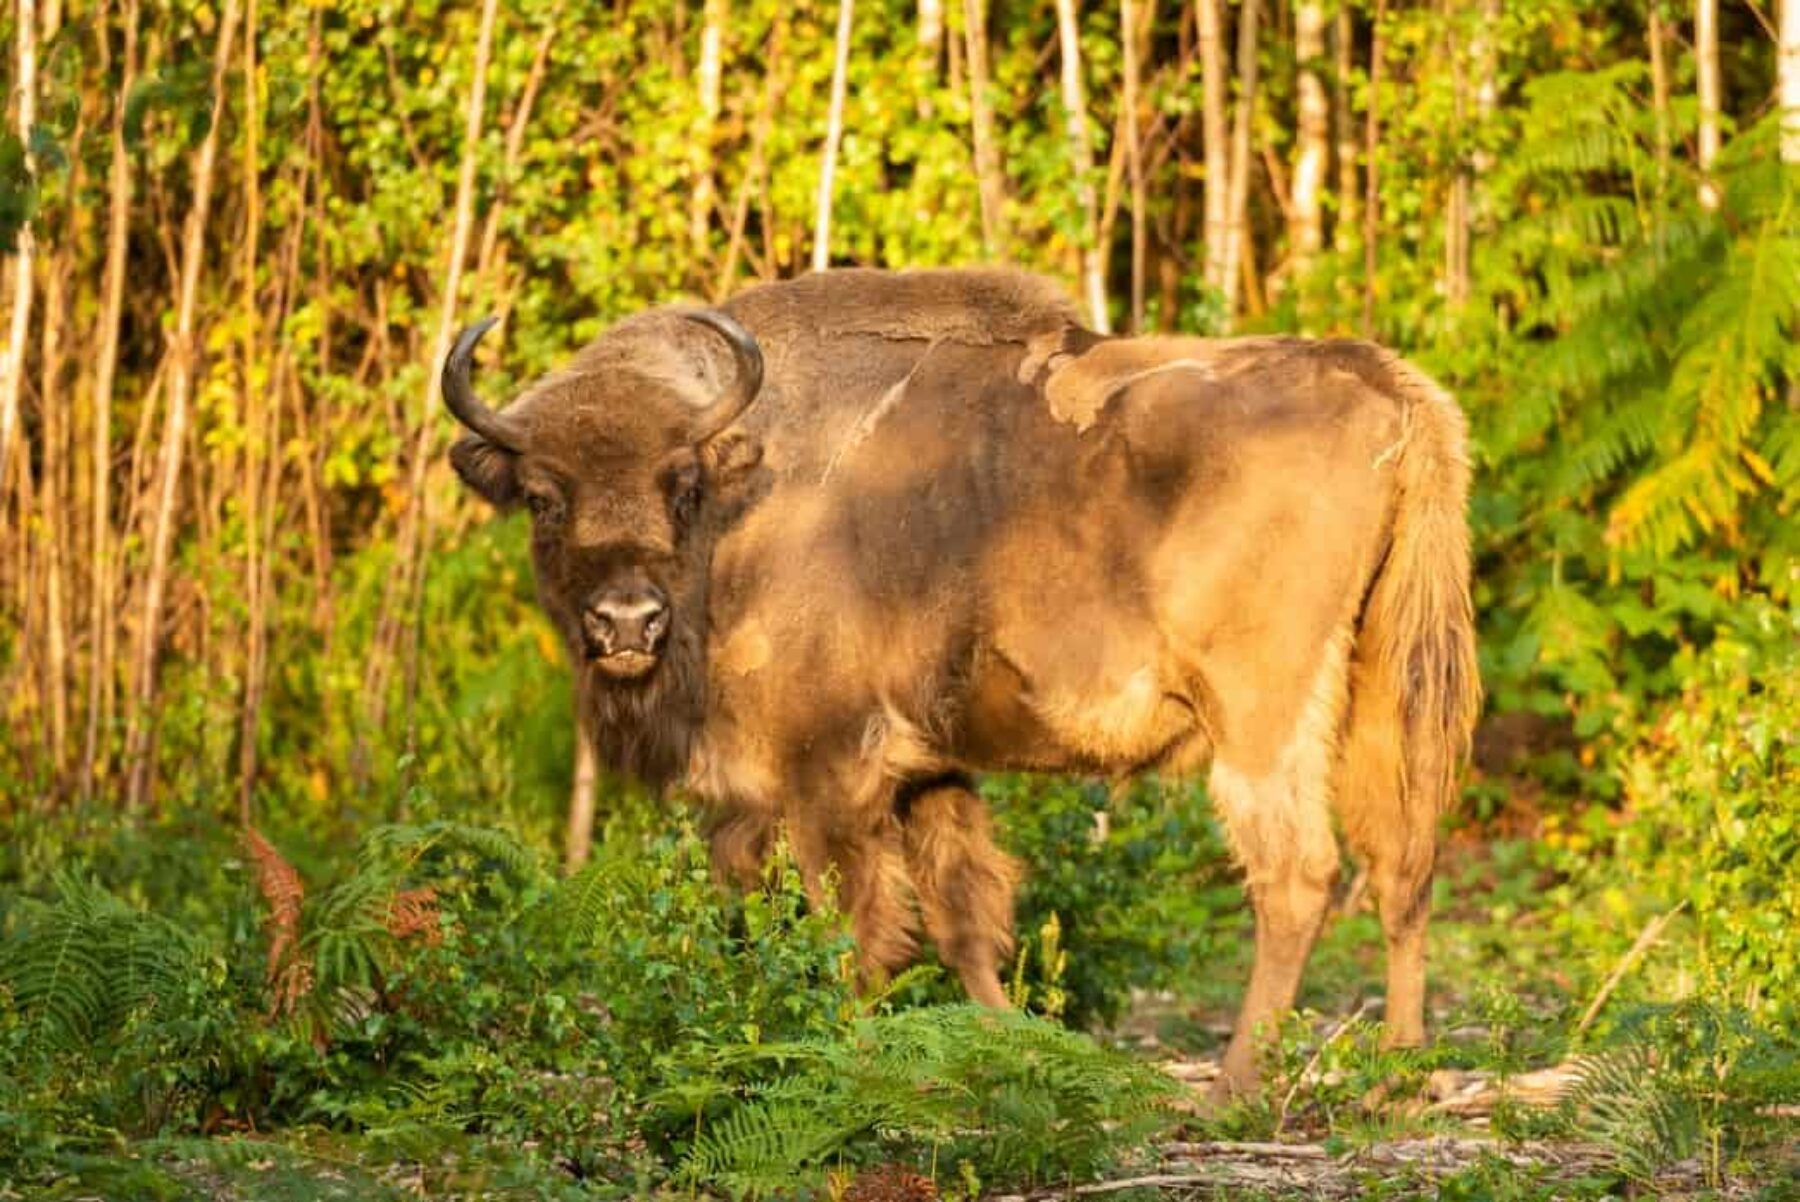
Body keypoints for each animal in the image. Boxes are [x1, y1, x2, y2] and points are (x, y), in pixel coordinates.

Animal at [439, 269, 1476, 1101]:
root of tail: (1388, 385)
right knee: (1403, 862)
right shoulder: (926, 768)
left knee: (1297, 877)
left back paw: (1230, 1092)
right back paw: (1402, 1075)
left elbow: (853, 931)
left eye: (680, 485)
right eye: (543, 497)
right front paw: (1007, 1047)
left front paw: (846, 1063)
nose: (625, 624)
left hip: (1262, 716)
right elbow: (961, 914)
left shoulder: (827, 773)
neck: (749, 496)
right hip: (1383, 685)